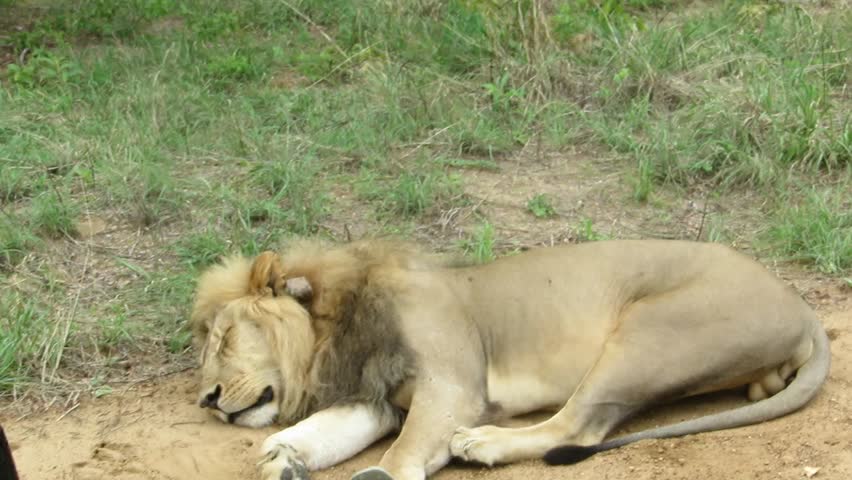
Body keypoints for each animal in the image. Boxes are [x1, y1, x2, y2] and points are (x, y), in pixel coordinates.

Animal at [189, 239, 830, 480]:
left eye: (224, 339)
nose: (207, 400)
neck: (335, 325)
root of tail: (802, 308)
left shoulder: (453, 384)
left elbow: (405, 452)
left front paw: (381, 472)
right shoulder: (383, 396)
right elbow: (333, 430)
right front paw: (287, 454)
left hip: (648, 330)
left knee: (577, 425)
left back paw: (483, 443)